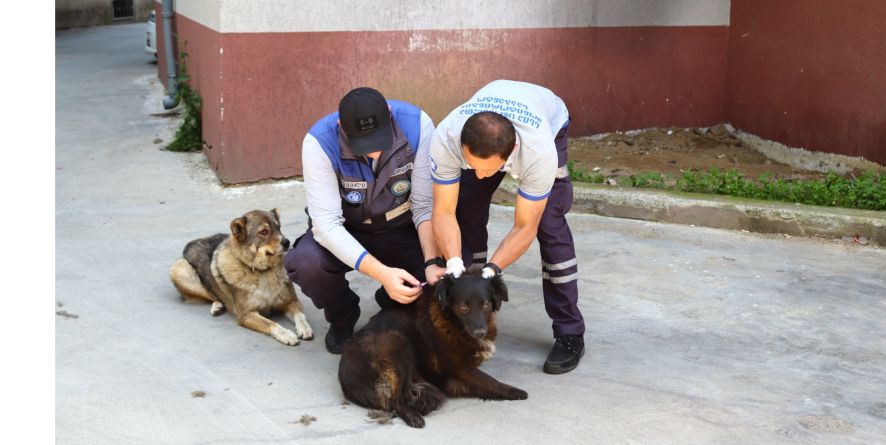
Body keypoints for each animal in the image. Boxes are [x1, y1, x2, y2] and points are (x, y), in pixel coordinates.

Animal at [171, 210, 316, 346]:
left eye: (279, 227)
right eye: (263, 232)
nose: (287, 242)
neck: (263, 272)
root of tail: (191, 243)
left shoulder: (291, 301)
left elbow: (300, 315)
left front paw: (304, 328)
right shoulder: (246, 315)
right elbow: (271, 323)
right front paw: (286, 333)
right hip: (178, 269)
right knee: (210, 294)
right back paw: (217, 305)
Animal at [336, 264, 524, 426]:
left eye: (485, 305)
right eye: (463, 307)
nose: (480, 333)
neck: (453, 322)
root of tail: (345, 377)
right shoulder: (457, 368)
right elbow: (488, 380)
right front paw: (513, 391)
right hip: (395, 341)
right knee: (394, 401)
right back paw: (413, 417)